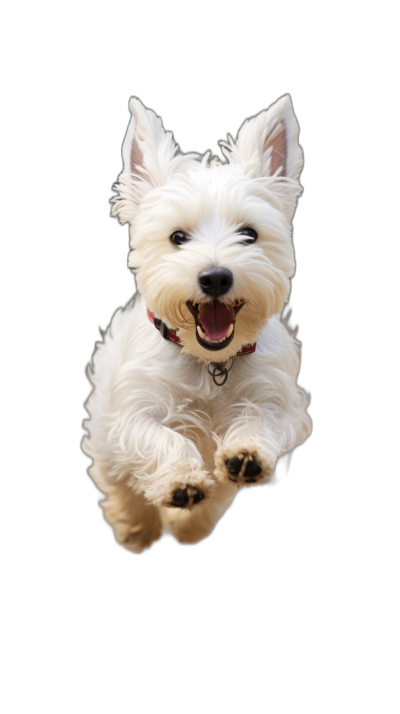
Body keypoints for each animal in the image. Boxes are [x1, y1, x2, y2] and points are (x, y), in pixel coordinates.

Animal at [81, 94, 312, 552]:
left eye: (249, 234)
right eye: (178, 237)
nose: (216, 277)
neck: (210, 363)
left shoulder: (278, 398)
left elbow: (261, 419)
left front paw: (244, 457)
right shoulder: (132, 410)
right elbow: (161, 437)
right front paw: (182, 483)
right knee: (116, 478)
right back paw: (137, 527)